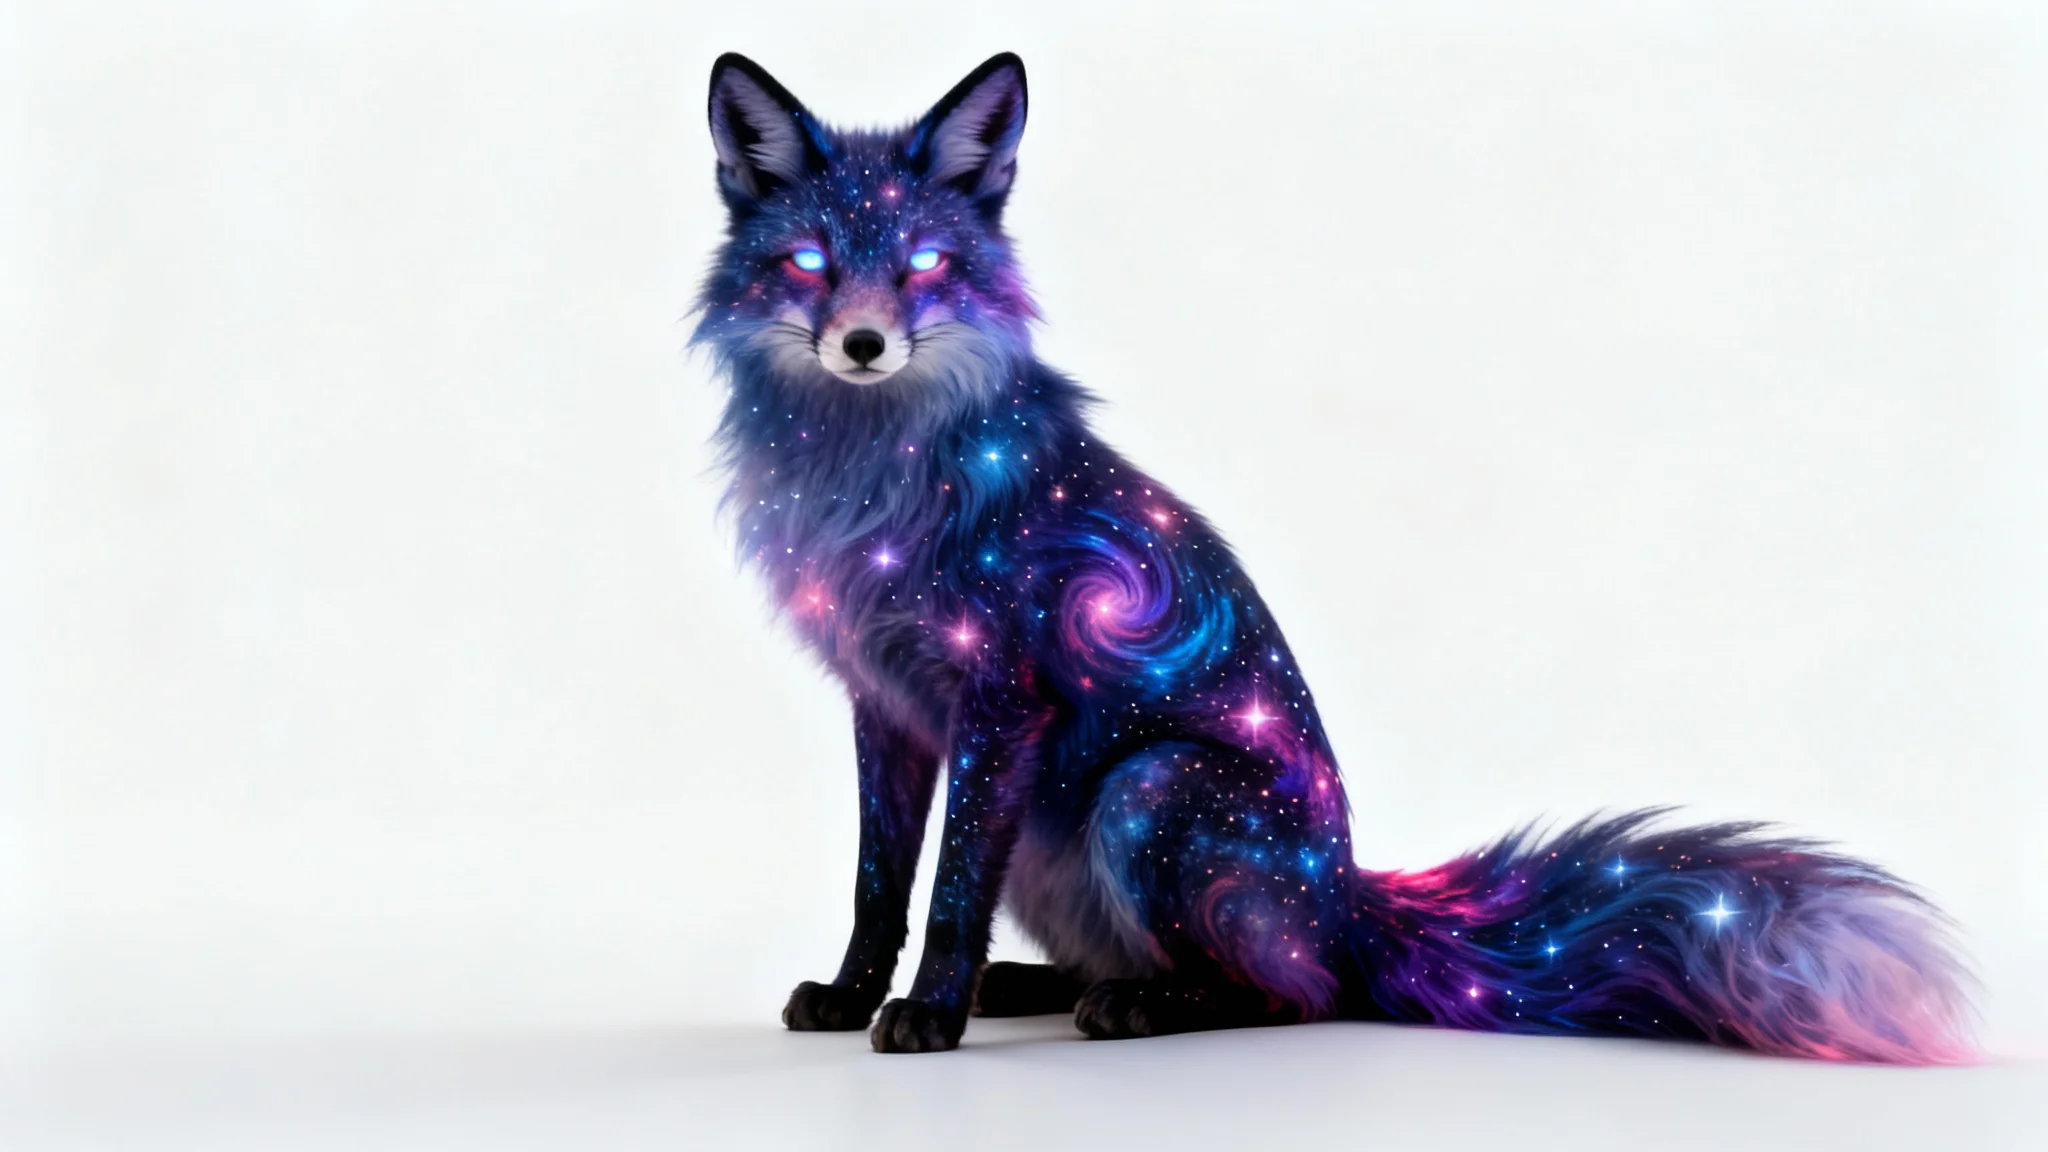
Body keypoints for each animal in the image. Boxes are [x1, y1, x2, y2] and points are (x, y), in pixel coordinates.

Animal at [689, 51, 1975, 1060]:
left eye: (922, 266)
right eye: (807, 264)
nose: (863, 343)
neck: (868, 476)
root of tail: (1349, 900)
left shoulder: (999, 692)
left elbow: (949, 892)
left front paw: (928, 1015)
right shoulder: (887, 701)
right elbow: (880, 884)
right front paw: (856, 995)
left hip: (1144, 790)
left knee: (1291, 994)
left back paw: (1138, 1006)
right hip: (1069, 851)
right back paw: (1052, 984)